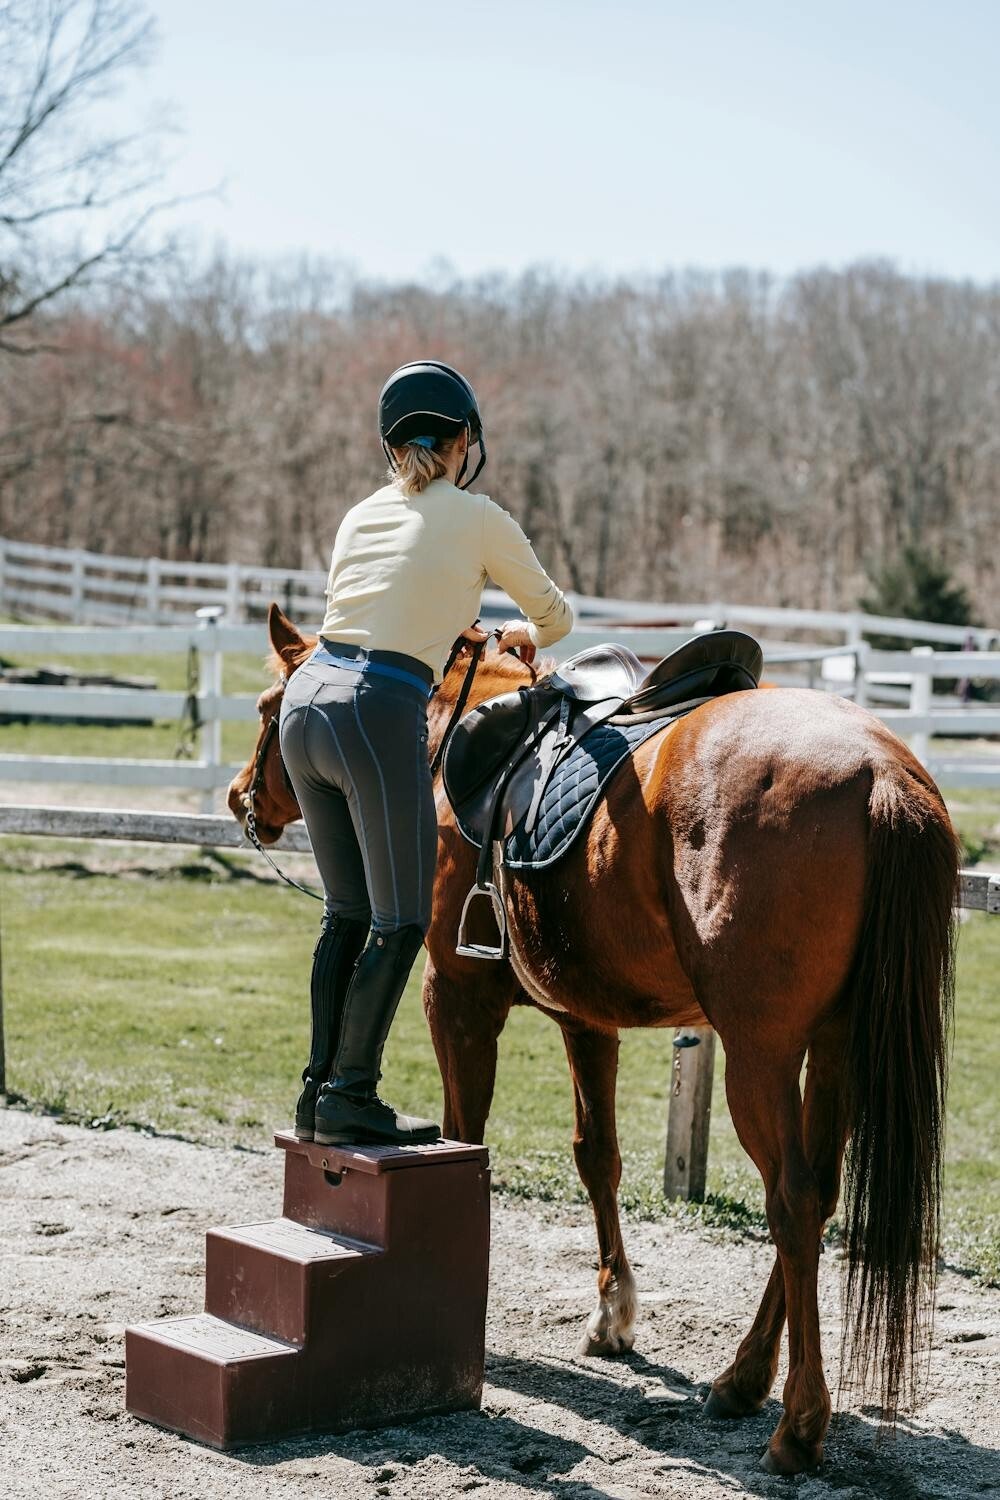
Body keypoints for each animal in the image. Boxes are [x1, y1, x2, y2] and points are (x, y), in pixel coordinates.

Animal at [228, 603, 958, 1476]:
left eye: (267, 709)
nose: (240, 798)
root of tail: (881, 772)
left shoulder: (457, 996)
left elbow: (465, 1135)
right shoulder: (589, 1020)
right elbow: (597, 1155)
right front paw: (613, 1313)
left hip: (762, 1054)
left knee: (793, 1200)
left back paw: (797, 1422)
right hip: (836, 1047)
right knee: (818, 1194)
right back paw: (743, 1378)